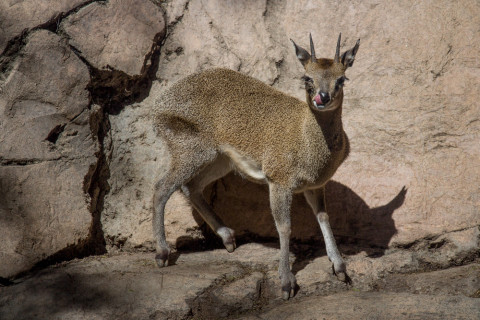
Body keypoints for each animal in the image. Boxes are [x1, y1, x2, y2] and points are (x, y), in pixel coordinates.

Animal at [152, 33, 358, 298]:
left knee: (191, 187)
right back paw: (162, 253)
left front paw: (340, 267)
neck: (306, 141)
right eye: (307, 77)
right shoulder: (279, 181)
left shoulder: (314, 186)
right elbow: (284, 227)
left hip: (219, 160)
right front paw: (286, 282)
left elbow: (323, 216)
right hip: (191, 151)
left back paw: (228, 239)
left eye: (341, 78)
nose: (321, 98)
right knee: (162, 188)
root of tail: (158, 106)